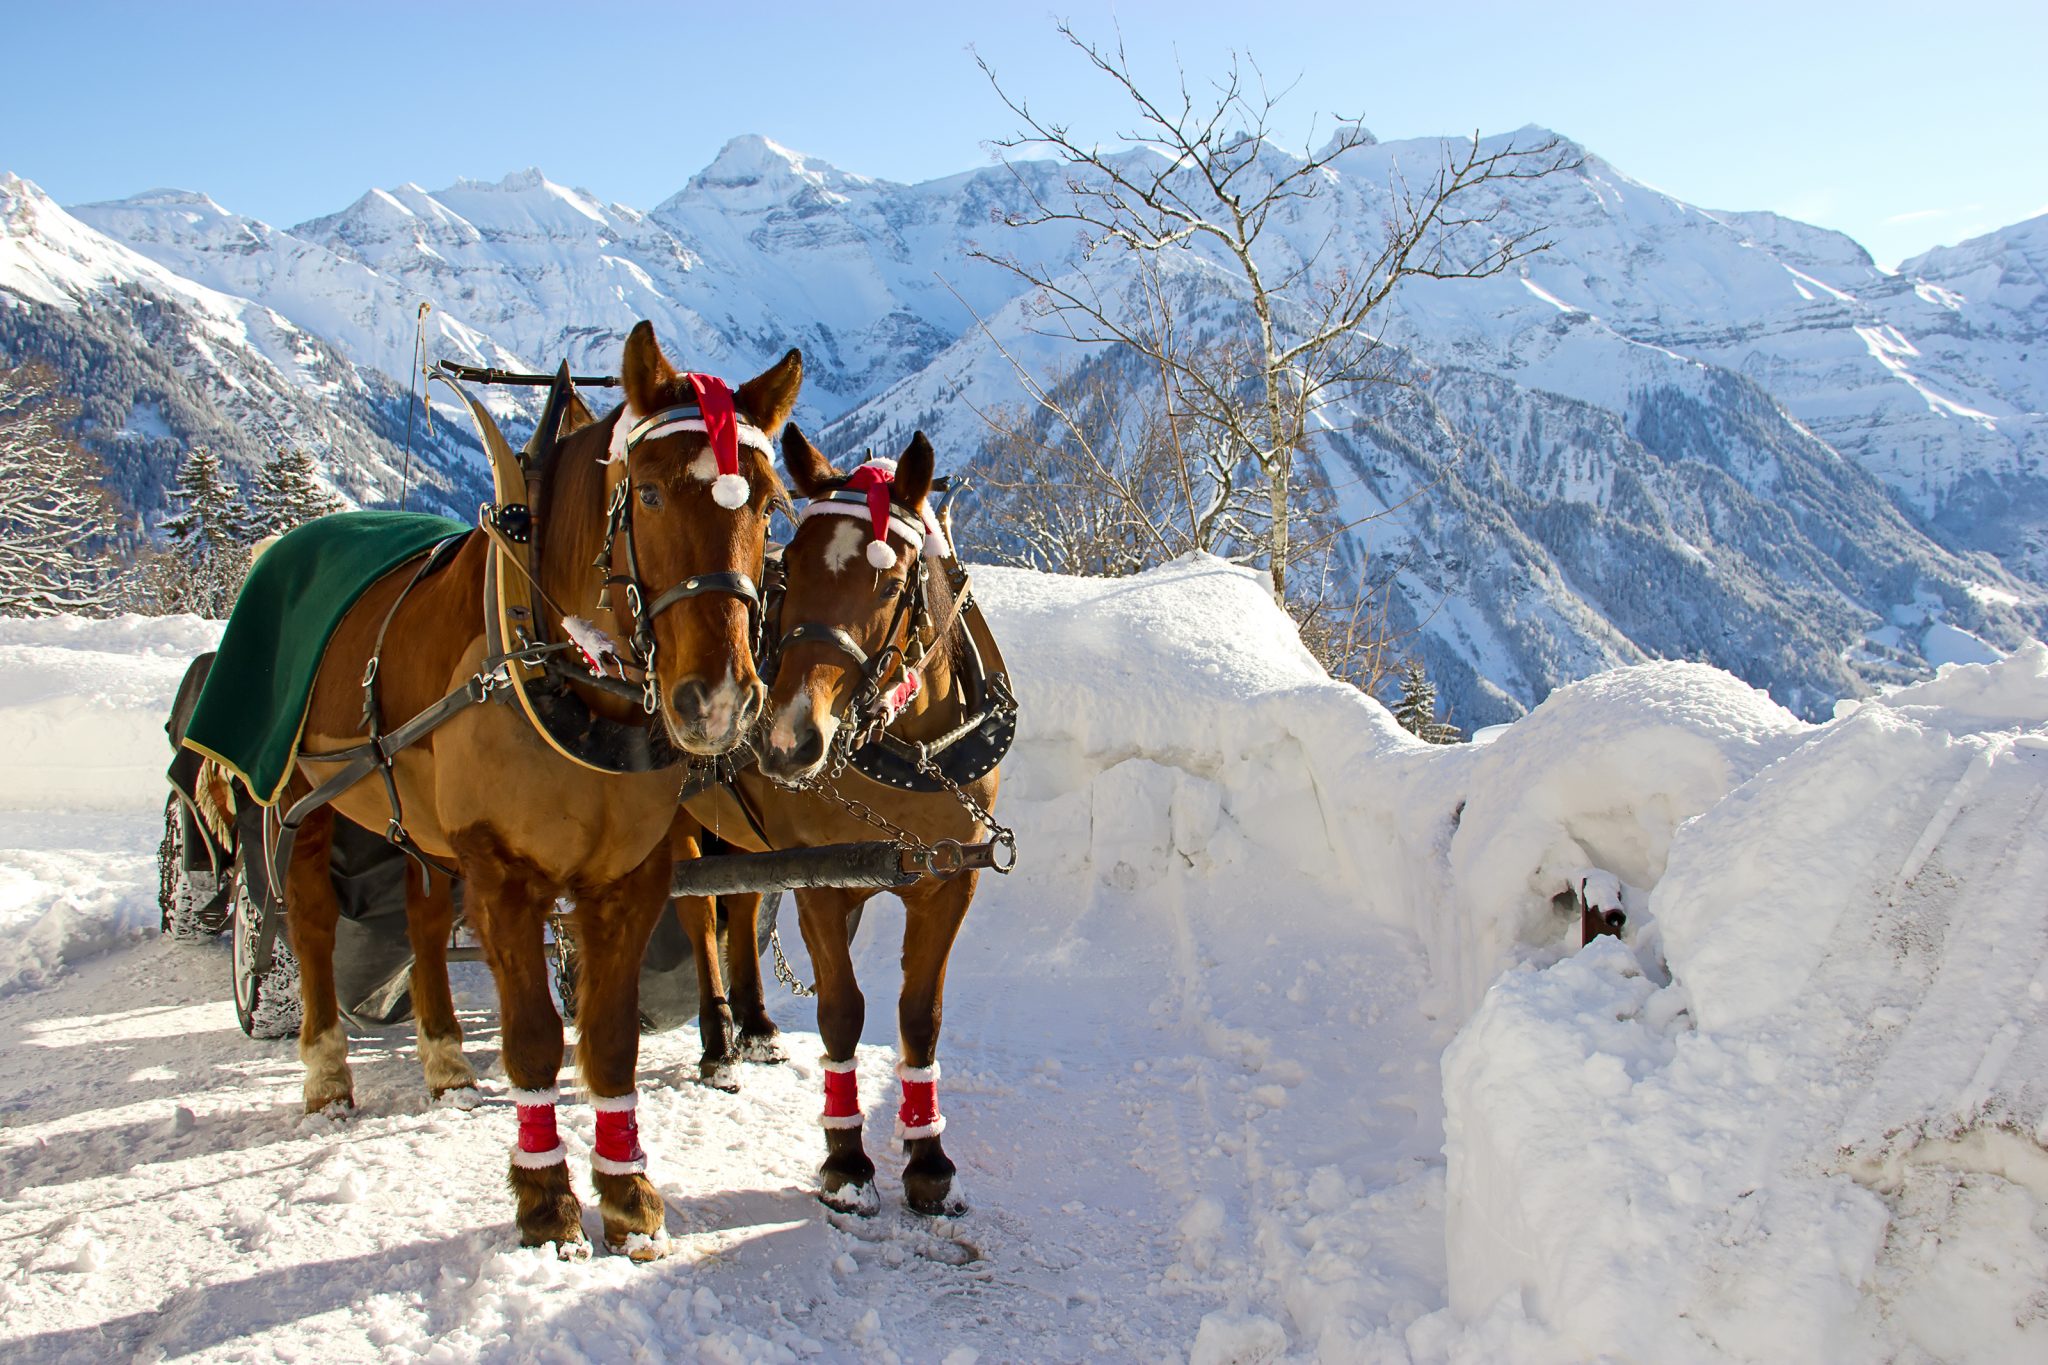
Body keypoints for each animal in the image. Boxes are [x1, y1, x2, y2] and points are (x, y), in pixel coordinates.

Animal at [284, 323, 802, 1260]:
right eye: (649, 494)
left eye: (769, 505)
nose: (717, 701)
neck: (569, 675)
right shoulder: (501, 872)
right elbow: (533, 1039)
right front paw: (545, 1200)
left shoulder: (630, 876)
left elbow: (608, 1038)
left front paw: (628, 1193)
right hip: (294, 796)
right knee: (306, 913)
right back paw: (327, 1071)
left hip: (416, 821)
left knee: (421, 914)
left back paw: (445, 1059)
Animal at [675, 427, 995, 1219]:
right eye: (790, 565)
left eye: (891, 582)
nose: (790, 741)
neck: (914, 751)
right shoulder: (822, 884)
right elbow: (842, 1011)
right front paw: (847, 1160)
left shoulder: (950, 884)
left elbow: (919, 1016)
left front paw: (928, 1159)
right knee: (697, 917)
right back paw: (718, 1044)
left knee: (740, 906)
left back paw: (756, 1026)